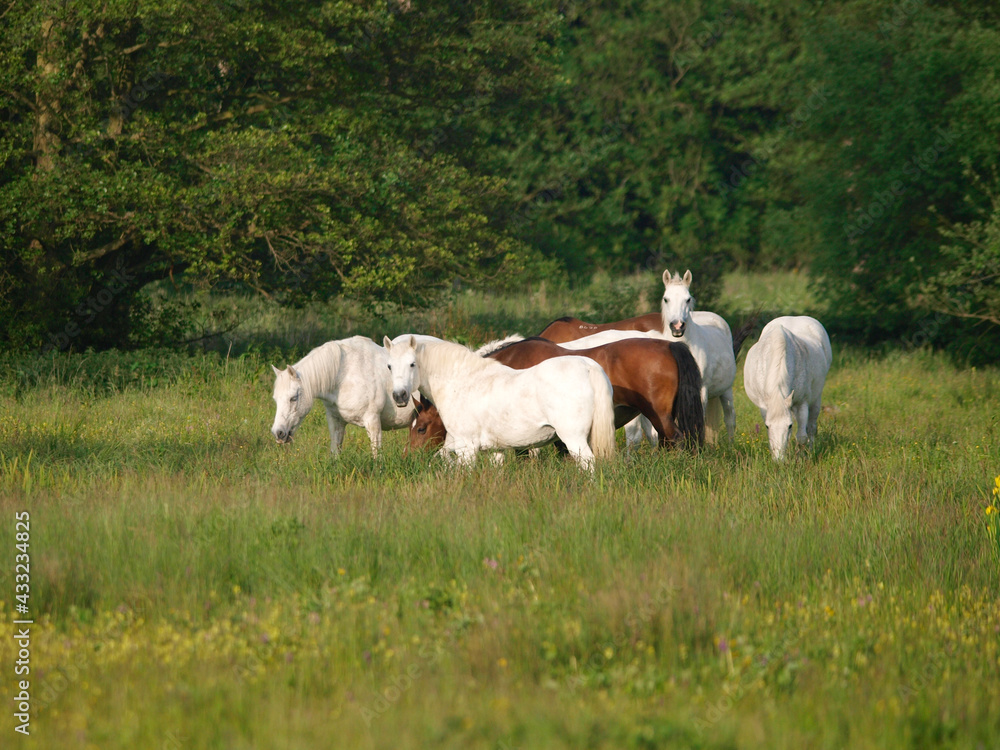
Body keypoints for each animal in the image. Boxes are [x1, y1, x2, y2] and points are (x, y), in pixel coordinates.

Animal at [268, 336, 416, 456]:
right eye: (275, 399)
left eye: (293, 398)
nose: (278, 433)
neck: (346, 375)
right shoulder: (336, 421)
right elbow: (335, 452)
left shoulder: (373, 421)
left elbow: (377, 454)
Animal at [384, 334, 612, 470]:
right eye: (389, 366)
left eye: (421, 428)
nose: (399, 396)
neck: (463, 382)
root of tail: (588, 366)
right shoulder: (496, 450)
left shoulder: (466, 448)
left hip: (574, 439)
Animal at [744, 316, 836, 462]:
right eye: (767, 426)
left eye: (790, 426)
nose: (779, 461)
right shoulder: (765, 408)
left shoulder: (801, 403)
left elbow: (802, 437)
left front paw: (803, 458)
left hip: (816, 399)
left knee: (811, 427)